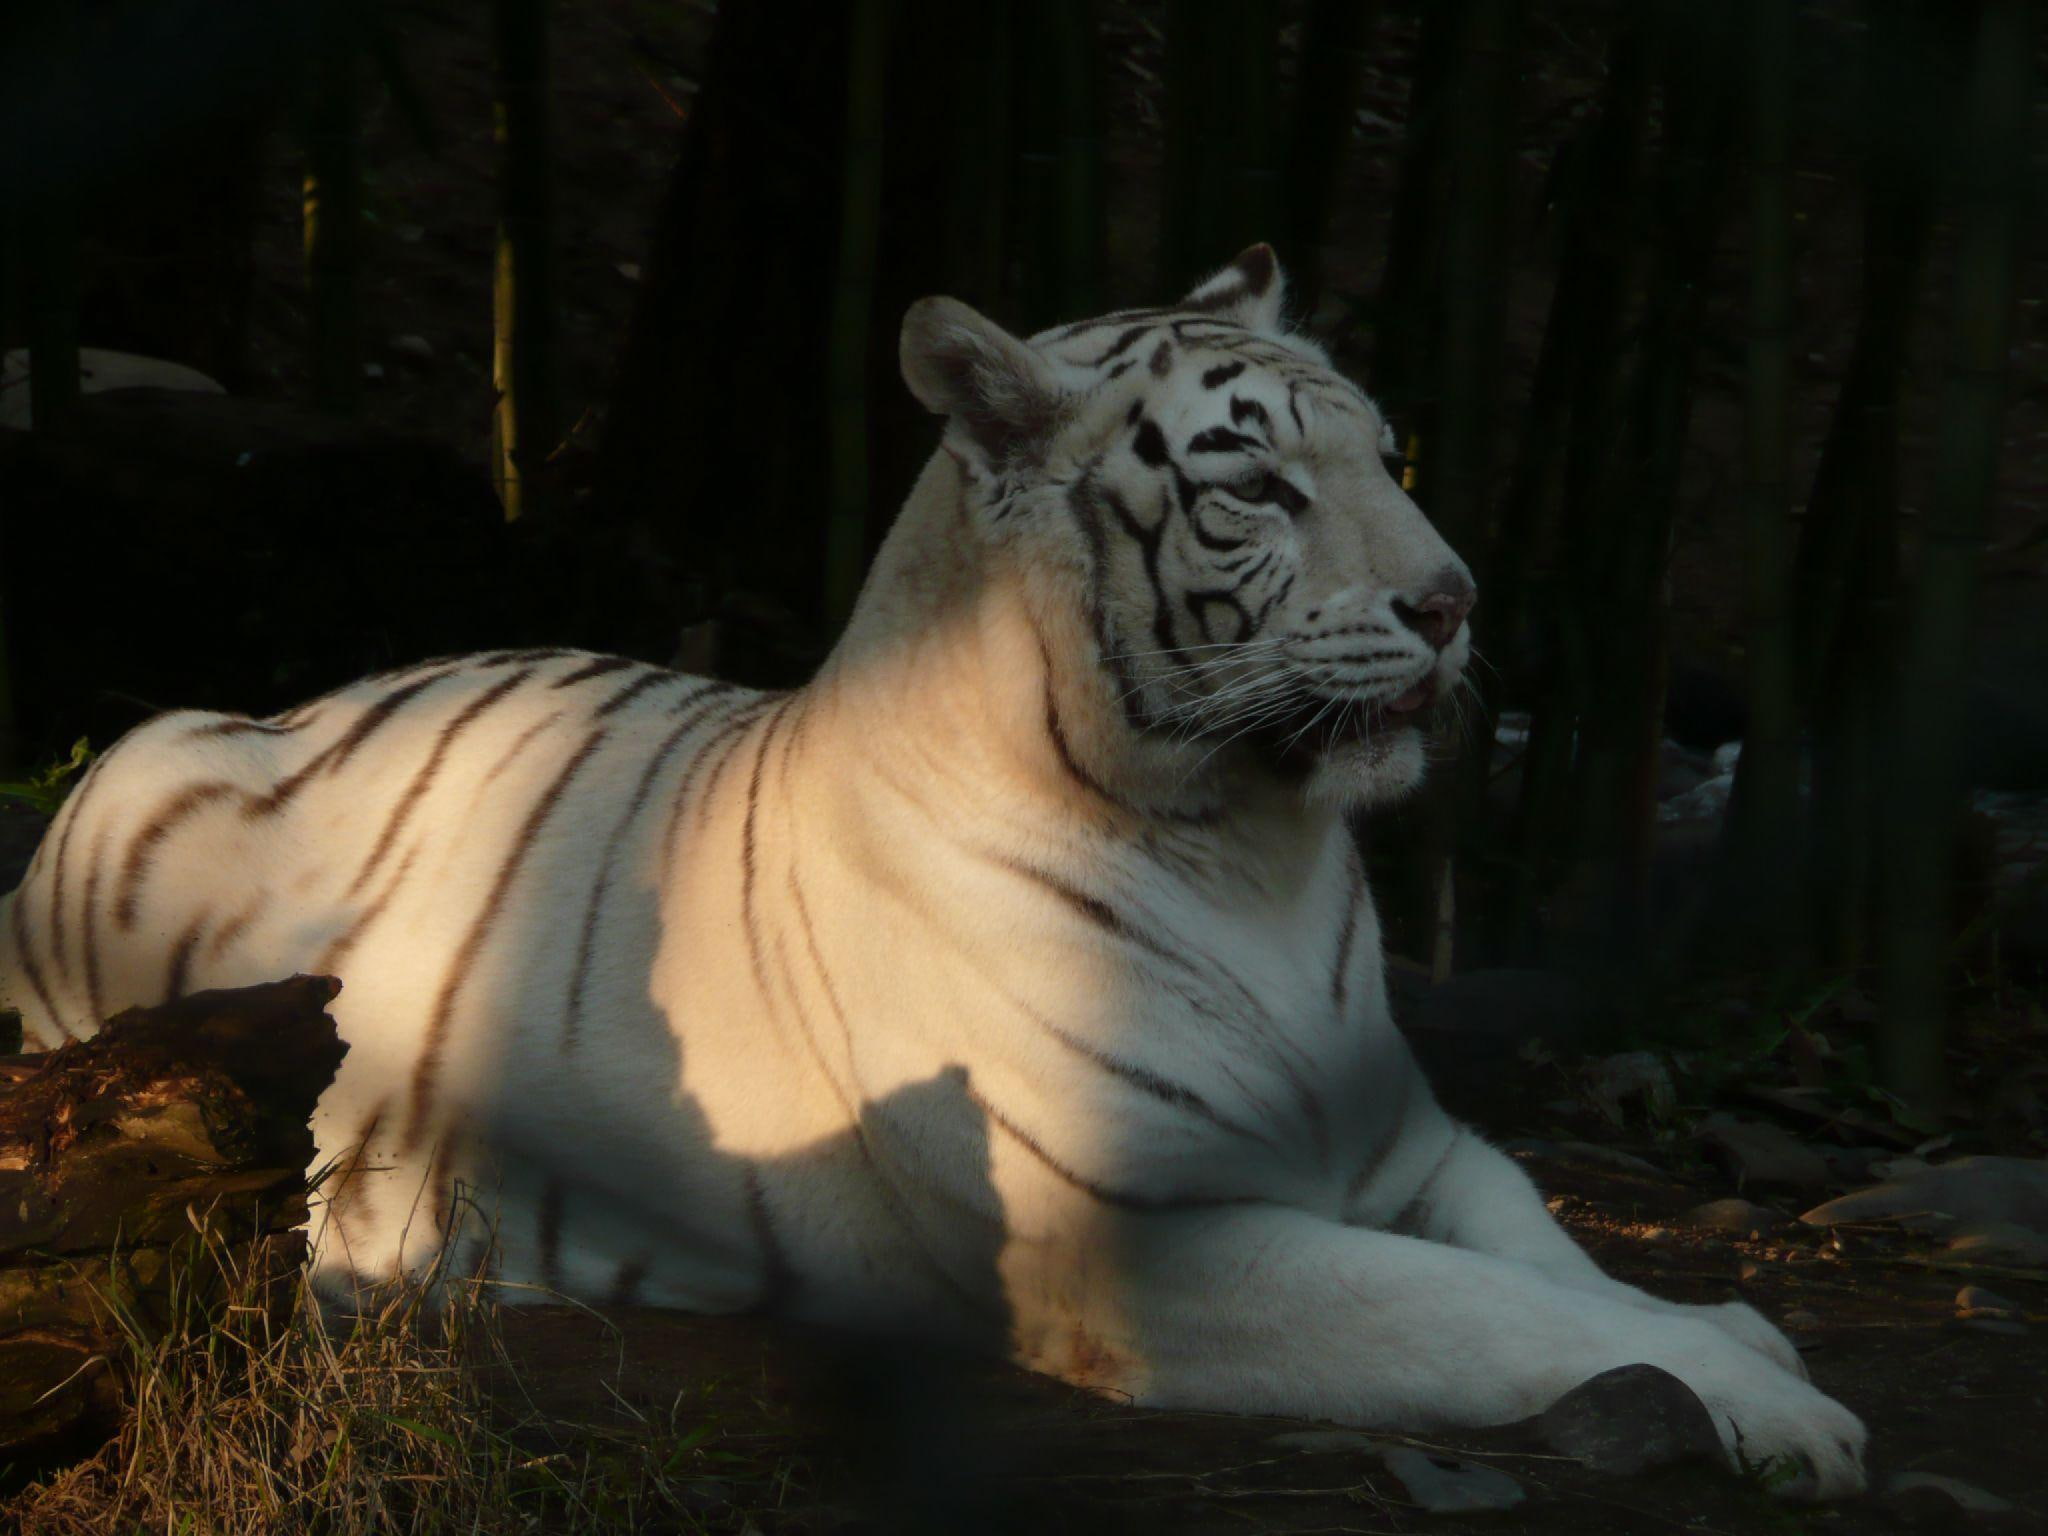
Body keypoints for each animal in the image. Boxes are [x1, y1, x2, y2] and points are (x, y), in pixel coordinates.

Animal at [0, 246, 1866, 1498]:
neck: (1258, 851)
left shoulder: (1414, 1145)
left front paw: (1740, 1333)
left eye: (1386, 456)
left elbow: (1545, 1257)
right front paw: (1782, 1404)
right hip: (143, 766)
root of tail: (298, 697)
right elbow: (1483, 1316)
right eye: (1259, 480)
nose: (1455, 601)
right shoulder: (1155, 1244)